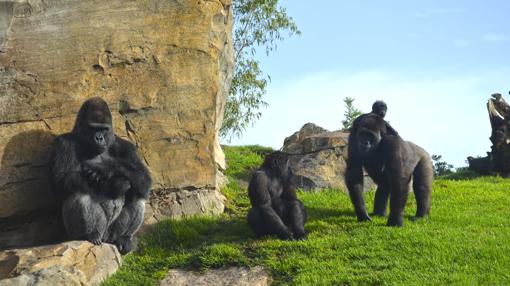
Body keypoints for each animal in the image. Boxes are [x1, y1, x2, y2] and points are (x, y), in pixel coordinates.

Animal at [49, 97, 151, 254]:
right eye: (93, 129)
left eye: (104, 129)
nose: (99, 138)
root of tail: (106, 239)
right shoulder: (64, 143)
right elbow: (60, 181)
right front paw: (112, 184)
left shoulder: (127, 146)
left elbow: (143, 177)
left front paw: (107, 169)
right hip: (89, 232)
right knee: (81, 194)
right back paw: (90, 234)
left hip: (111, 234)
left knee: (138, 195)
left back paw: (124, 238)